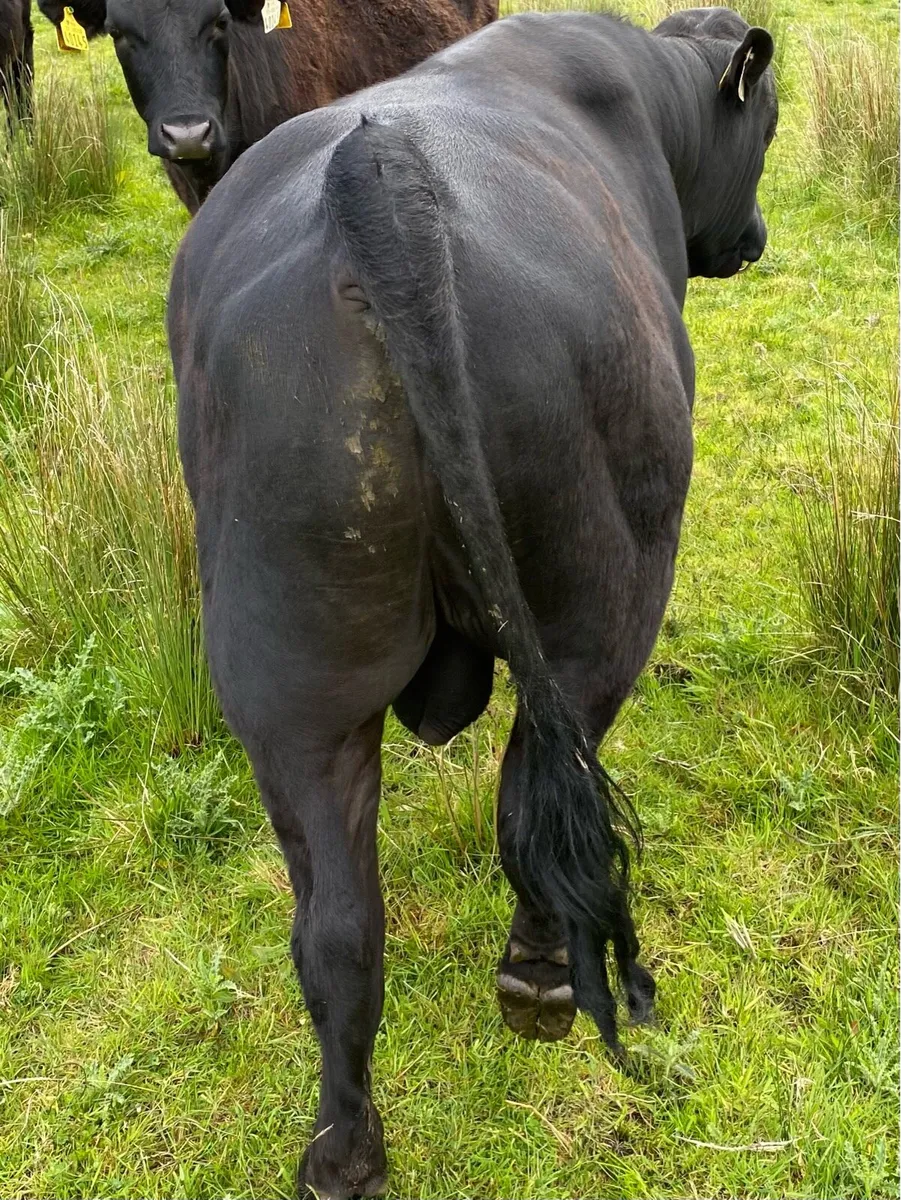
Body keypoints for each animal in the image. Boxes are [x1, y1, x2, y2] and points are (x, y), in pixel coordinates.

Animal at [168, 6, 778, 1196]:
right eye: (767, 132)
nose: (755, 237)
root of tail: (378, 180)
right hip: (602, 602)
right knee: (538, 785)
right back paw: (540, 976)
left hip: (289, 681)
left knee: (337, 928)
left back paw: (344, 1150)